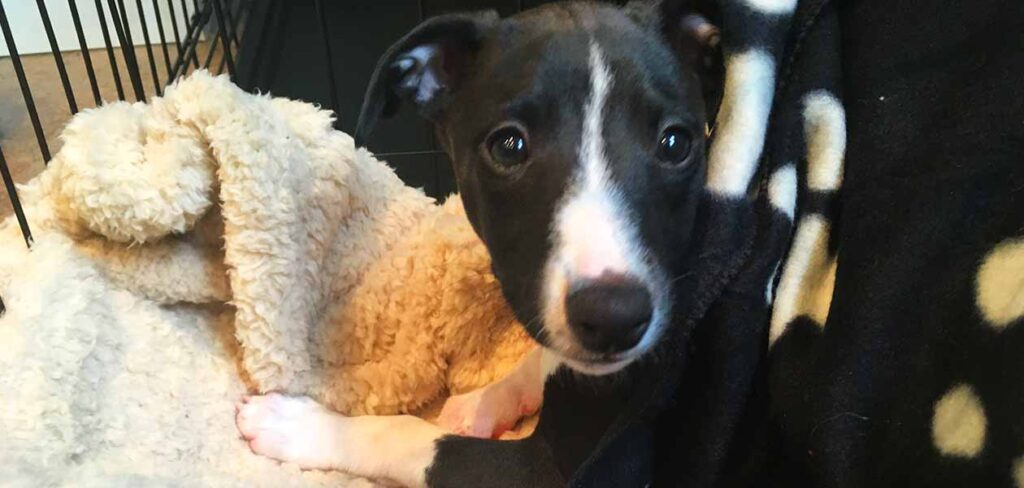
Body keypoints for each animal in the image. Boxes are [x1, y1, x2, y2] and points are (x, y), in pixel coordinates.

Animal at [235, 1, 786, 484]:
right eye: (508, 145)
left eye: (675, 142)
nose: (614, 317)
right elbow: (540, 358)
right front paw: (483, 402)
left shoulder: (558, 472)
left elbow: (413, 437)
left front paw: (303, 426)